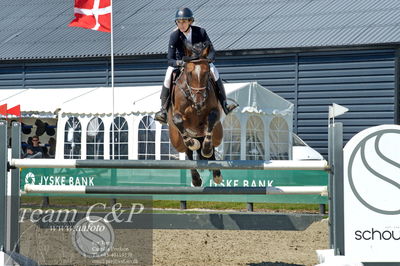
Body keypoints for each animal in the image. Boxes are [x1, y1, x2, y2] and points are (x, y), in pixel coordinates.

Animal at [166, 41, 225, 187]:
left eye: (207, 72)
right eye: (189, 73)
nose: (199, 103)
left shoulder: (214, 112)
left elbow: (211, 119)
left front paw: (206, 149)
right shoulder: (178, 115)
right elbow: (178, 121)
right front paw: (193, 143)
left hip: (218, 133)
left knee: (211, 145)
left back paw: (215, 172)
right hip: (176, 140)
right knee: (187, 152)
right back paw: (196, 179)